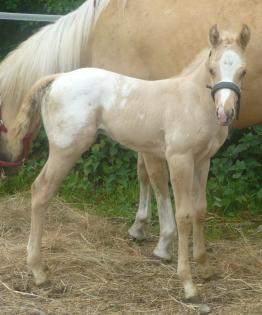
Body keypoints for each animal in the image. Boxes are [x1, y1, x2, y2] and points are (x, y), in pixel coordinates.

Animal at [0, 1, 260, 262]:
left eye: (244, 72)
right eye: (212, 70)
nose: (226, 113)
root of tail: (58, 78)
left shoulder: (192, 156)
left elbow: (183, 198)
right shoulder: (166, 151)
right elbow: (155, 180)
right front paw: (157, 240)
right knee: (41, 190)